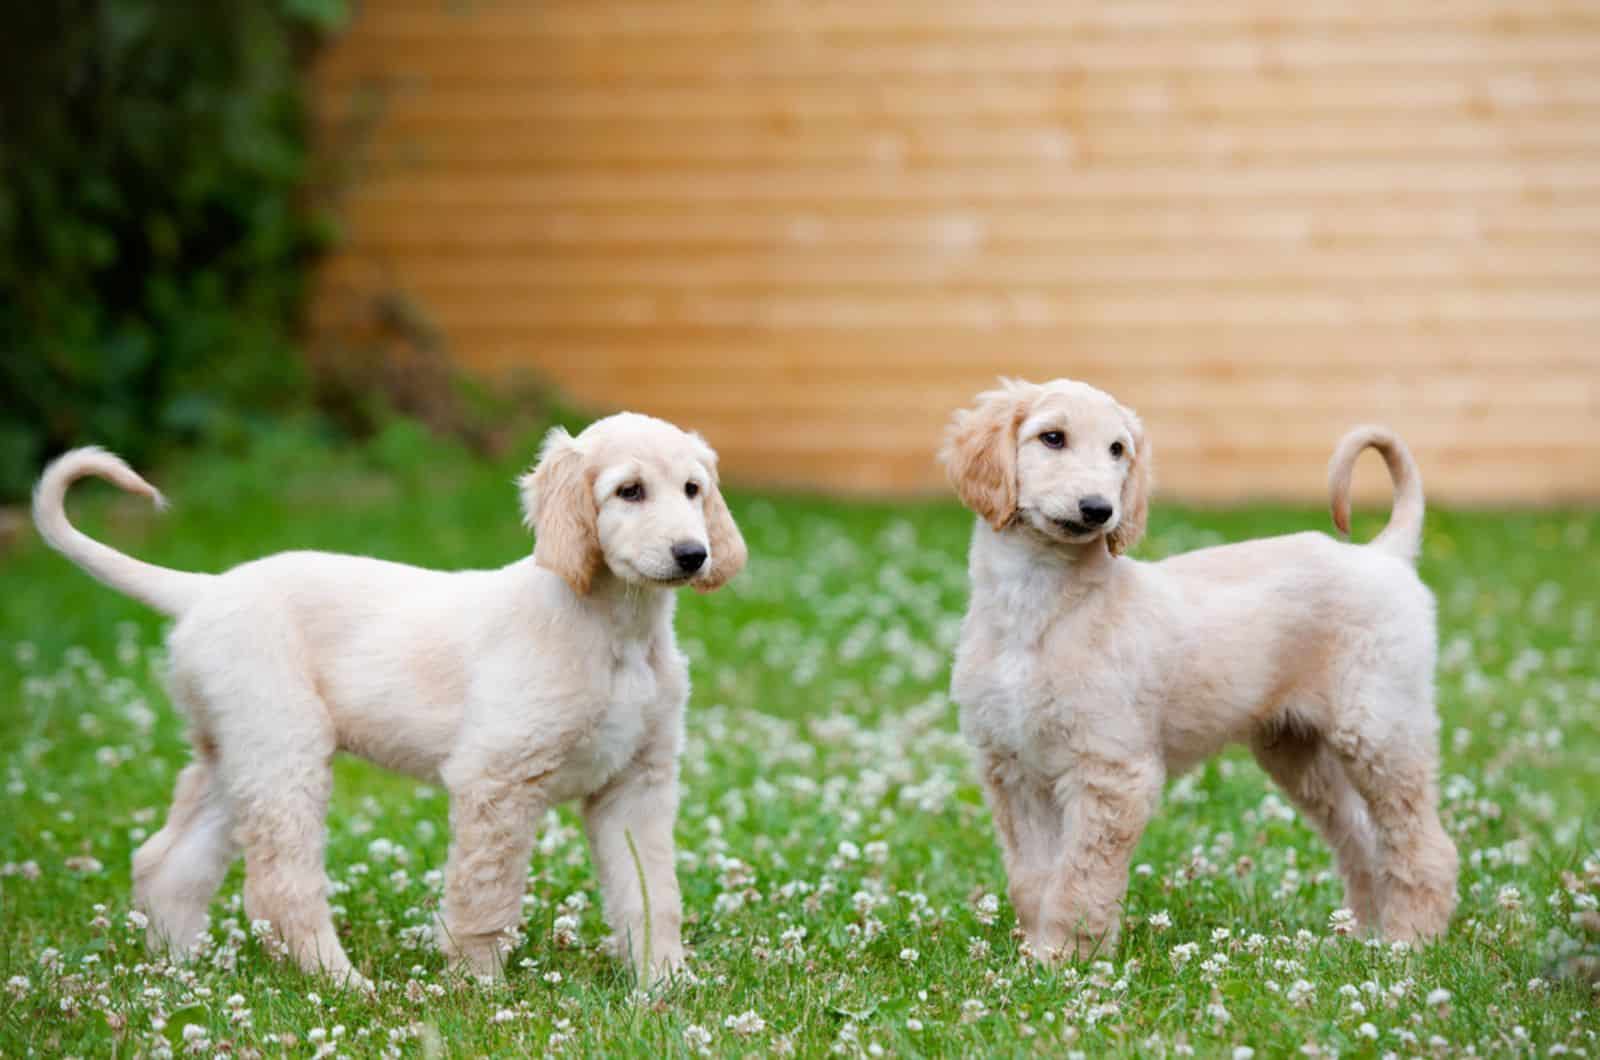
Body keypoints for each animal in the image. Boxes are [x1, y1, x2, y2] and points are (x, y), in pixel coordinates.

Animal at [31, 413, 742, 986]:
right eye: (629, 490)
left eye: (693, 490)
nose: (692, 554)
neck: (617, 631)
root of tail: (204, 590)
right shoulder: (497, 779)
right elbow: (484, 897)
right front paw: (479, 988)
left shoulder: (636, 784)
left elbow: (652, 894)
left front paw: (664, 985)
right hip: (285, 749)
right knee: (279, 887)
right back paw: (342, 982)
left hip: (237, 755)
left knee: (167, 862)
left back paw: (175, 973)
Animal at [940, 379, 1459, 960]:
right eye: (1052, 438)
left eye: (1117, 450)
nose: (1099, 510)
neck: (1040, 607)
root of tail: (1384, 555)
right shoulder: (1012, 770)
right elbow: (1032, 877)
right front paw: (1034, 956)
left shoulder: (1113, 770)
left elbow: (1079, 878)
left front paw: (1070, 957)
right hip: (1300, 751)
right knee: (1364, 839)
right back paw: (1364, 936)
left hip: (1381, 729)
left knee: (1424, 844)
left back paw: (1410, 940)